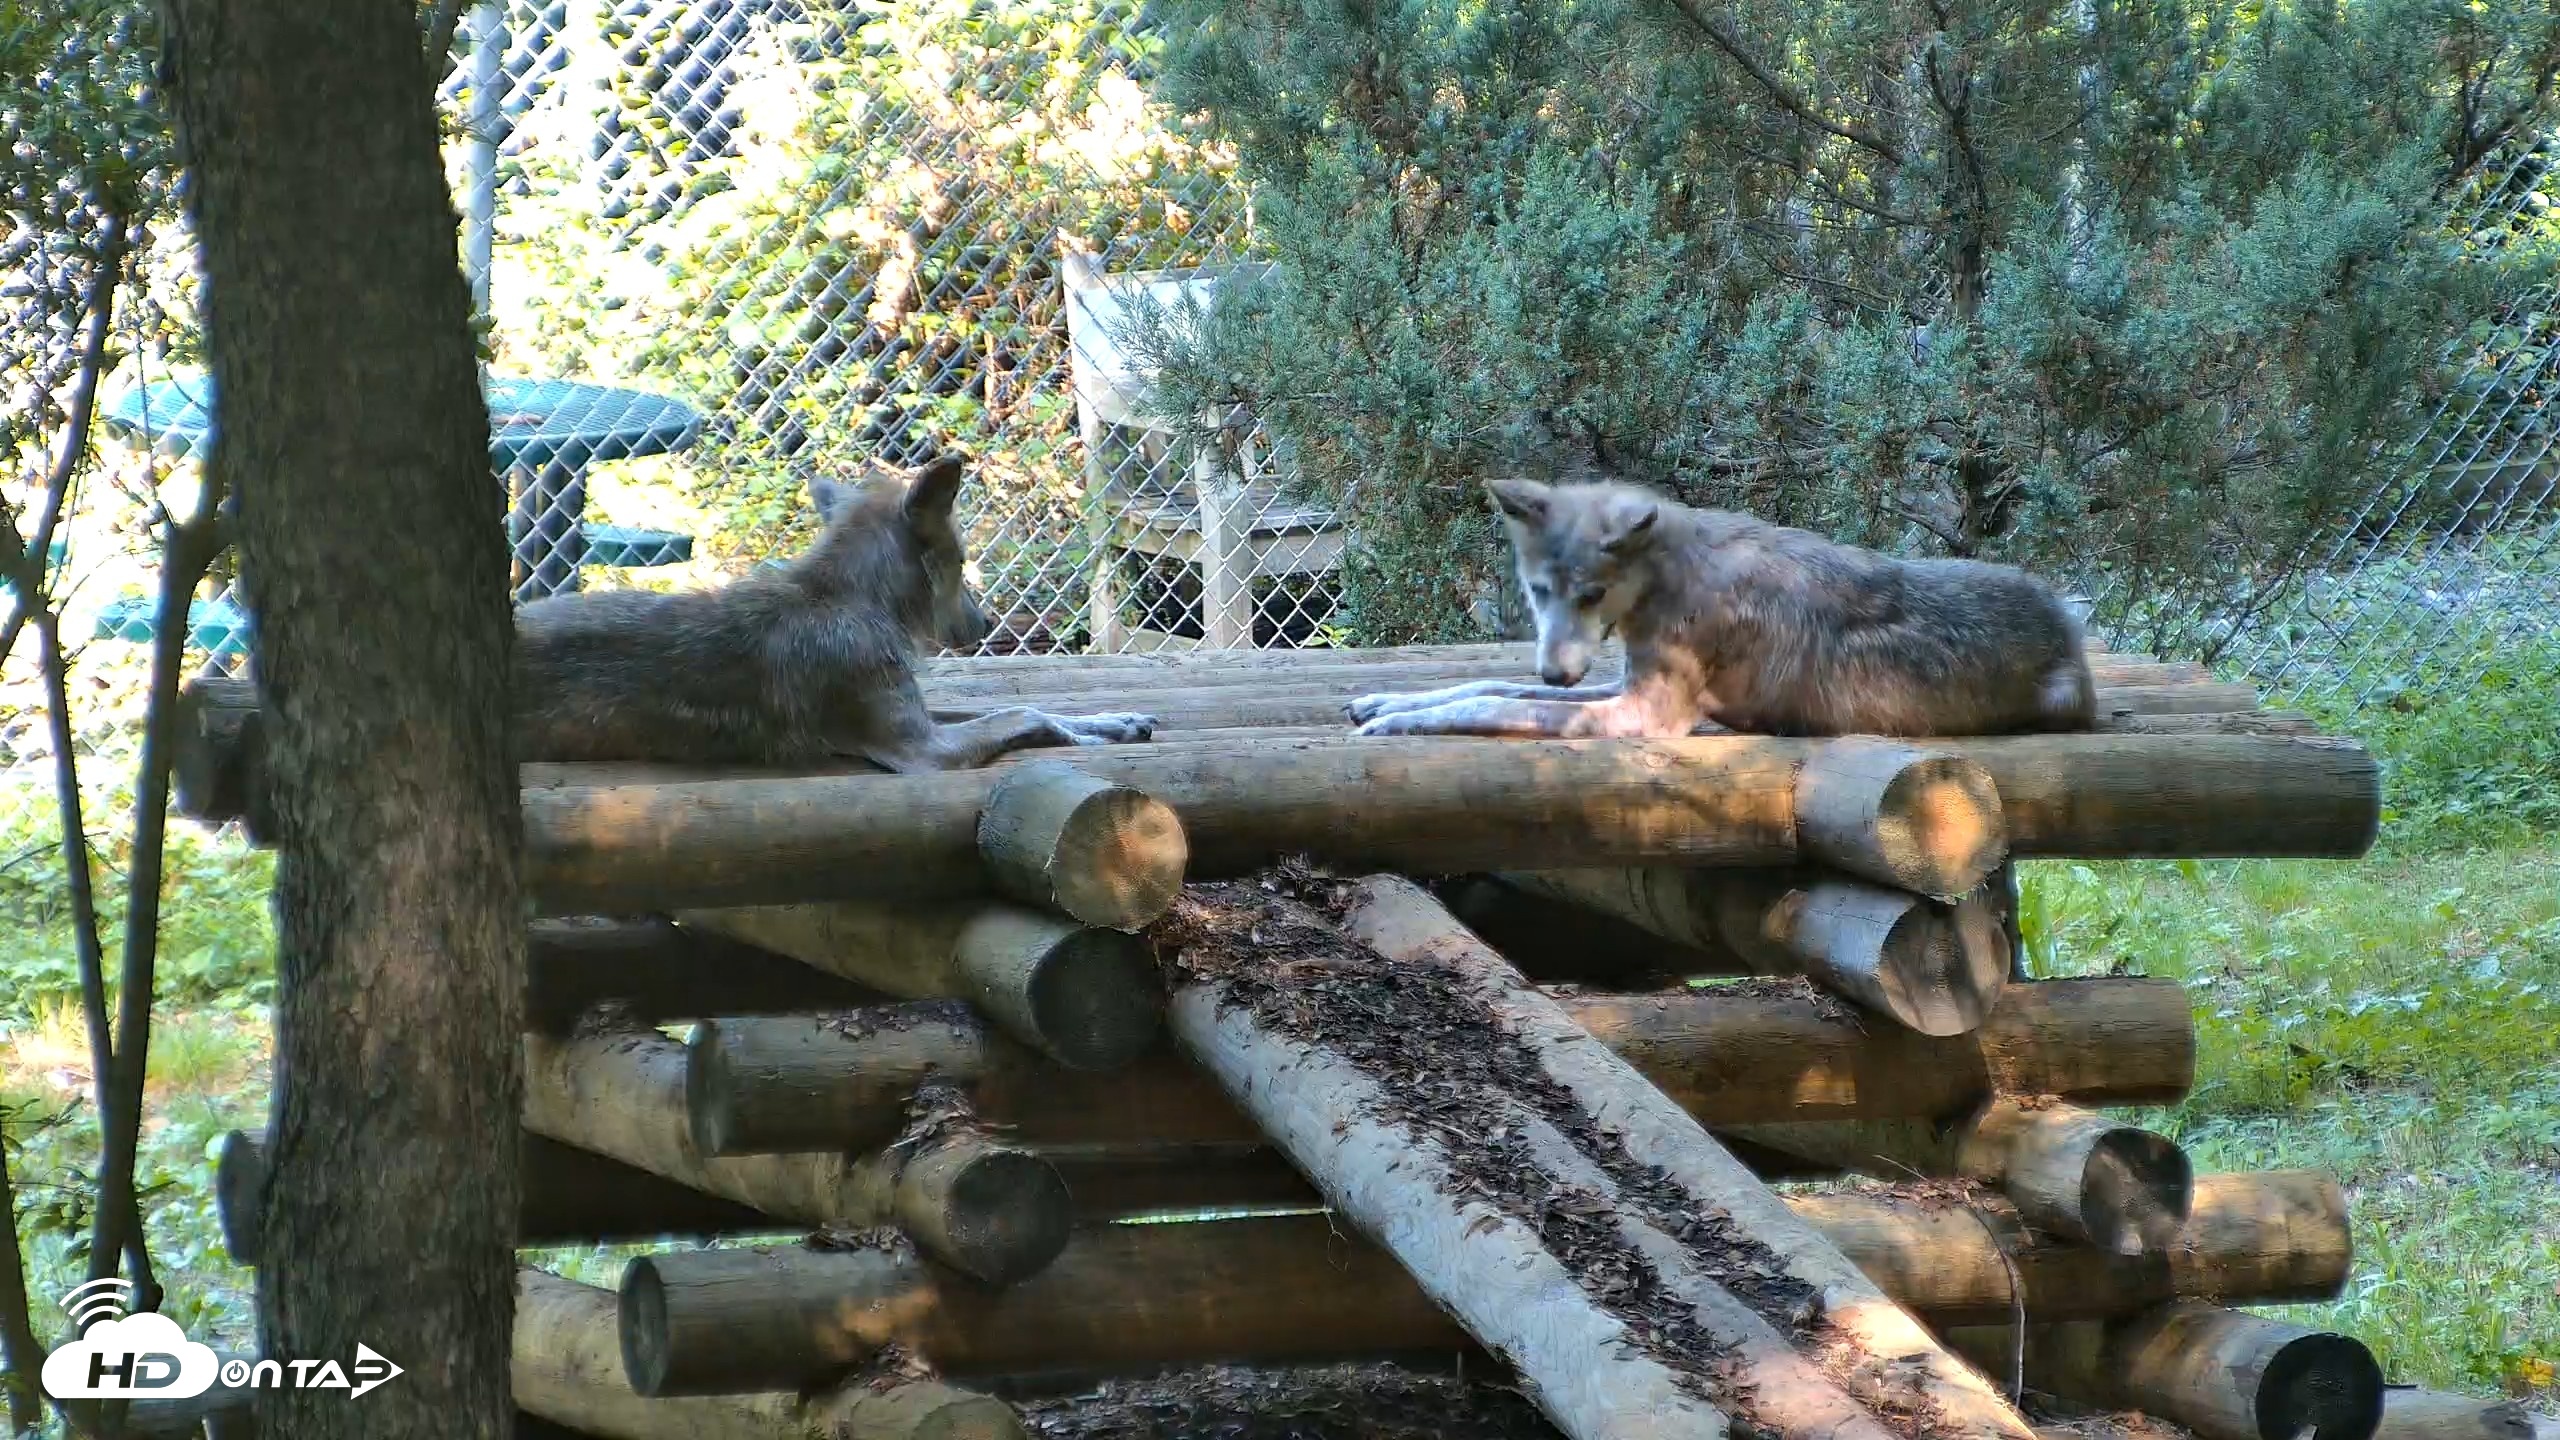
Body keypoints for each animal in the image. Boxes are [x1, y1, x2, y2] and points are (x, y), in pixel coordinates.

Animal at [515, 453, 1155, 771]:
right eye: (962, 560)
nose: (986, 626)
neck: (849, 601)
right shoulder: (923, 751)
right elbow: (1024, 711)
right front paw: (1088, 740)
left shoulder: (923, 716)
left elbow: (1026, 707)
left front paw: (1114, 722)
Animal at [1346, 476, 2097, 740]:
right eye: (1539, 592)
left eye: (1591, 595)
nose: (1559, 670)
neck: (1668, 575)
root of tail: (2070, 628)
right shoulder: (1615, 683)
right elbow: (1491, 684)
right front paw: (1387, 702)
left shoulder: (1642, 714)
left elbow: (1496, 703)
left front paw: (1400, 723)